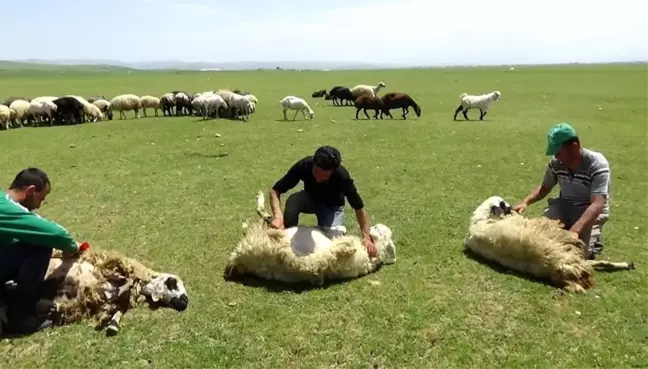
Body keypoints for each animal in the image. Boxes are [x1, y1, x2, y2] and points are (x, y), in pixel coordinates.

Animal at [223, 190, 394, 284]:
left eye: (378, 229)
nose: (372, 227)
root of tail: (239, 258)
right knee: (266, 219)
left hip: (261, 242)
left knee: (264, 220)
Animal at [464, 194, 636, 292]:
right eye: (503, 205)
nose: (512, 207)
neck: (481, 220)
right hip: (572, 253)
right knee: (595, 263)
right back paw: (626, 264)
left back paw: (628, 264)